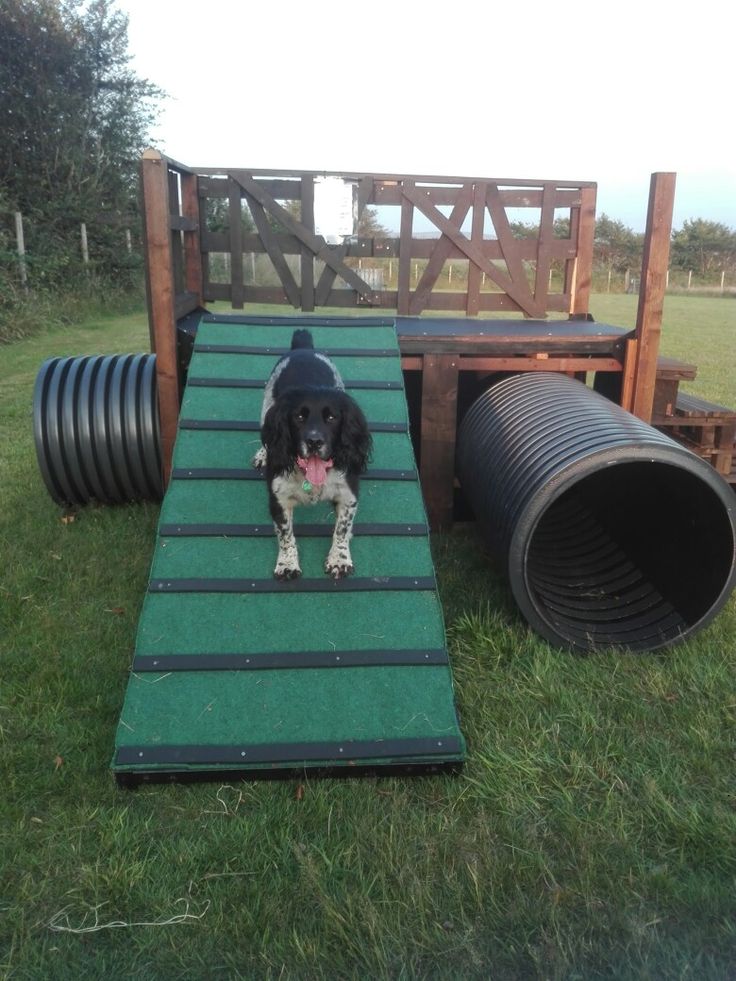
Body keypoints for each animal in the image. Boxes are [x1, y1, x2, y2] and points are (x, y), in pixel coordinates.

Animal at [253, 330, 370, 580]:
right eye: (299, 417)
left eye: (332, 418)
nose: (314, 441)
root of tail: (303, 347)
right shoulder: (278, 499)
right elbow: (285, 535)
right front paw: (287, 564)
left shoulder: (348, 495)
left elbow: (341, 529)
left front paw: (339, 560)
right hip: (266, 407)